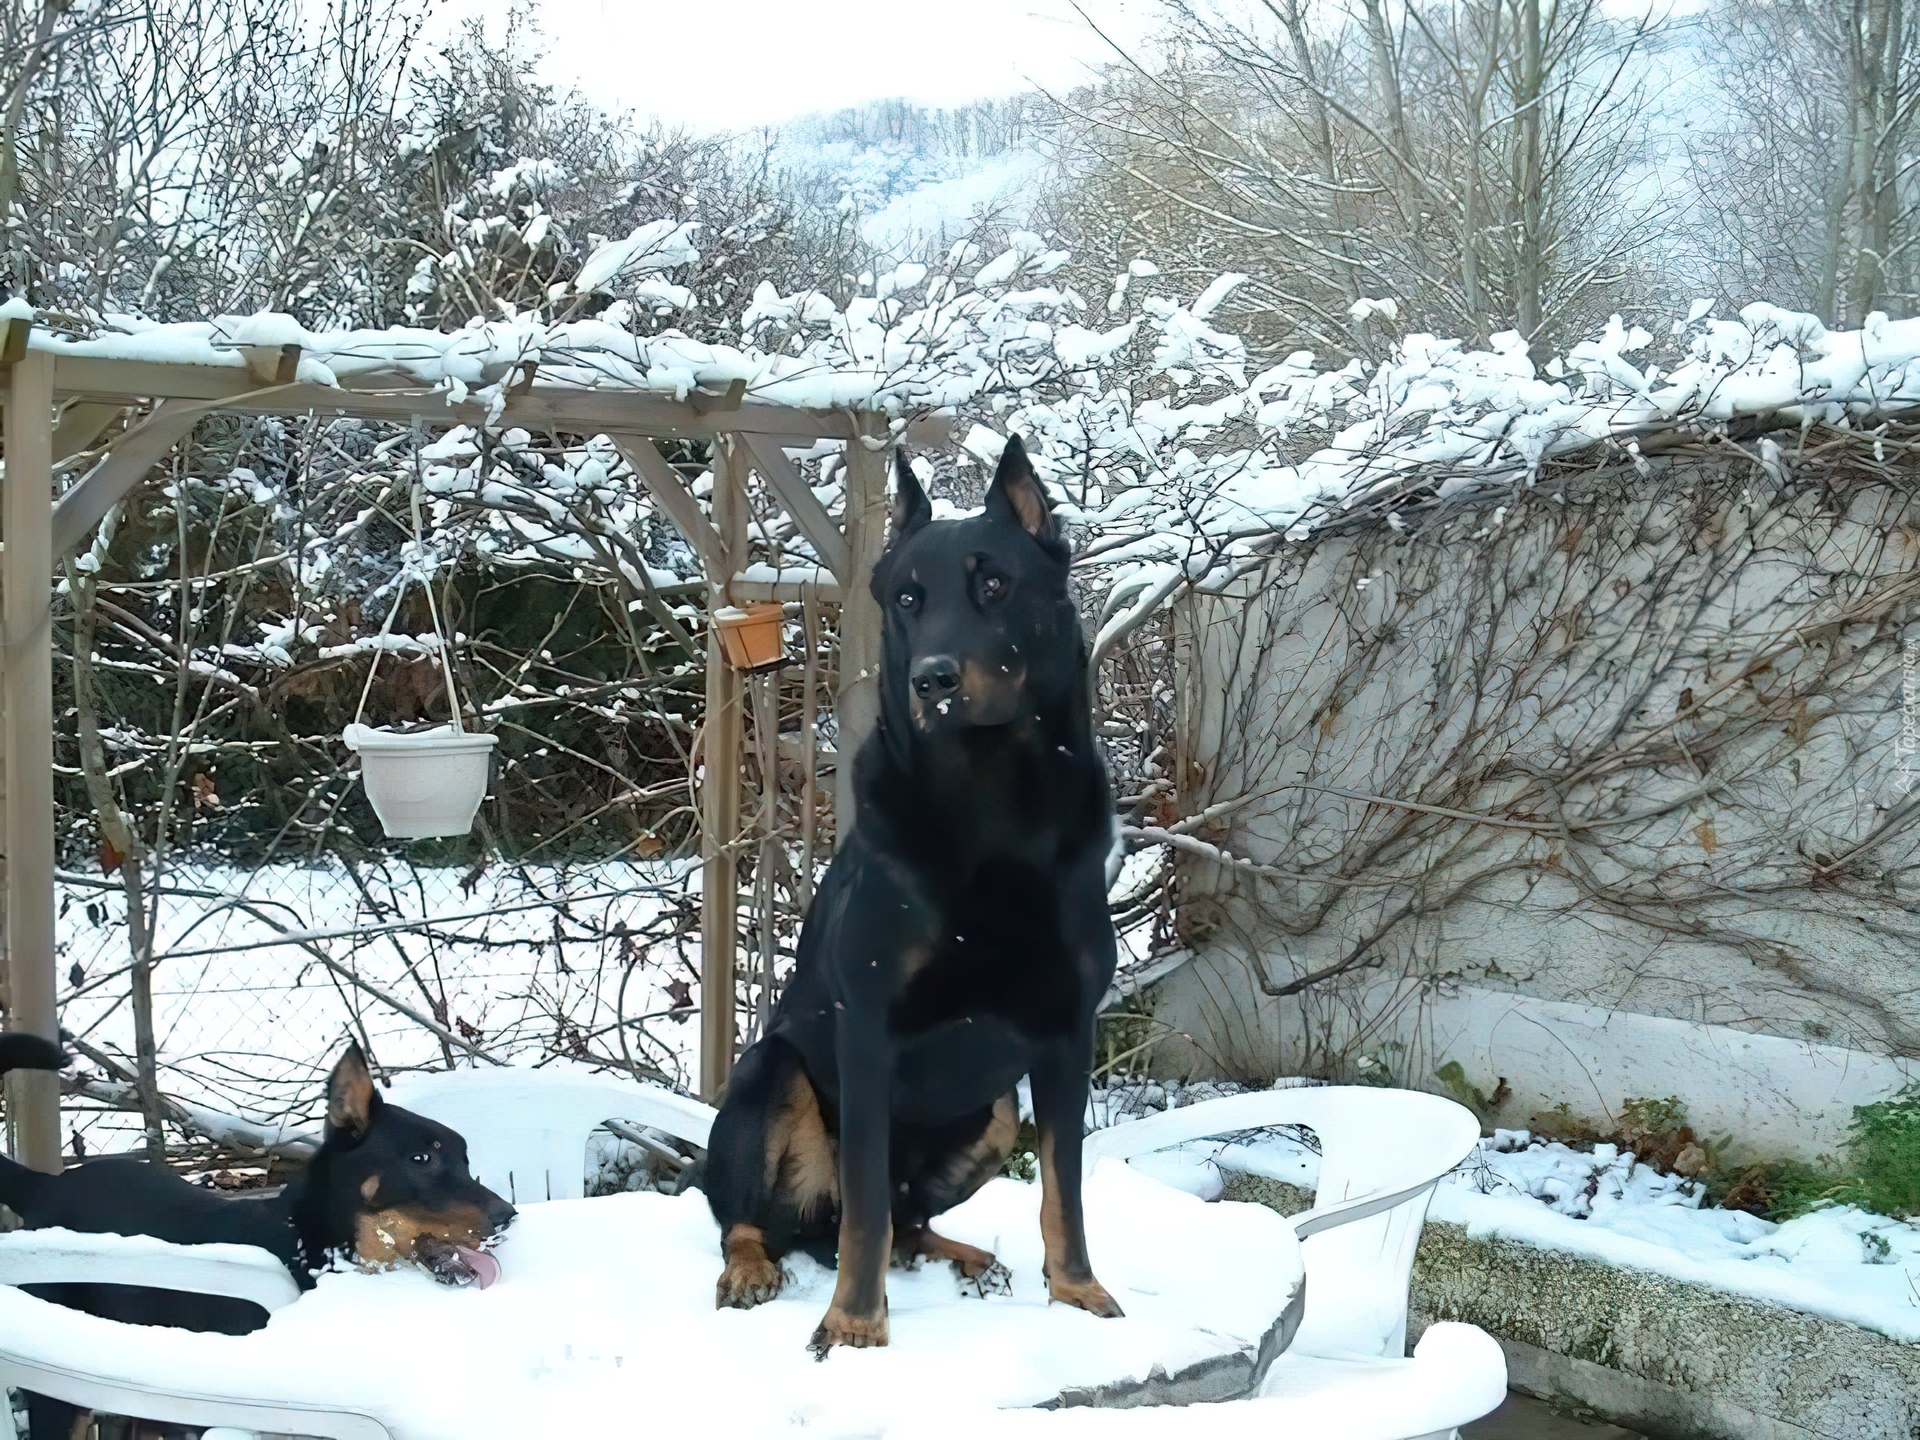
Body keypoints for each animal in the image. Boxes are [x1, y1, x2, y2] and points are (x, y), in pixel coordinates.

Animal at [0, 1044, 518, 1436]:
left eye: (466, 1160)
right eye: (421, 1159)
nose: (508, 1217)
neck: (310, 1247)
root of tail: (47, 1184)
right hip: (60, 1399)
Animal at [702, 437, 1121, 1351]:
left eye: (994, 584)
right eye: (906, 599)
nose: (934, 679)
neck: (992, 800)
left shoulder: (1066, 1035)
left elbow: (1064, 1188)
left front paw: (1077, 1291)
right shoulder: (868, 1032)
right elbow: (864, 1211)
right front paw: (853, 1325)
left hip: (996, 1108)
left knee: (905, 1222)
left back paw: (966, 1256)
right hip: (769, 1071)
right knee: (766, 1216)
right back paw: (752, 1268)